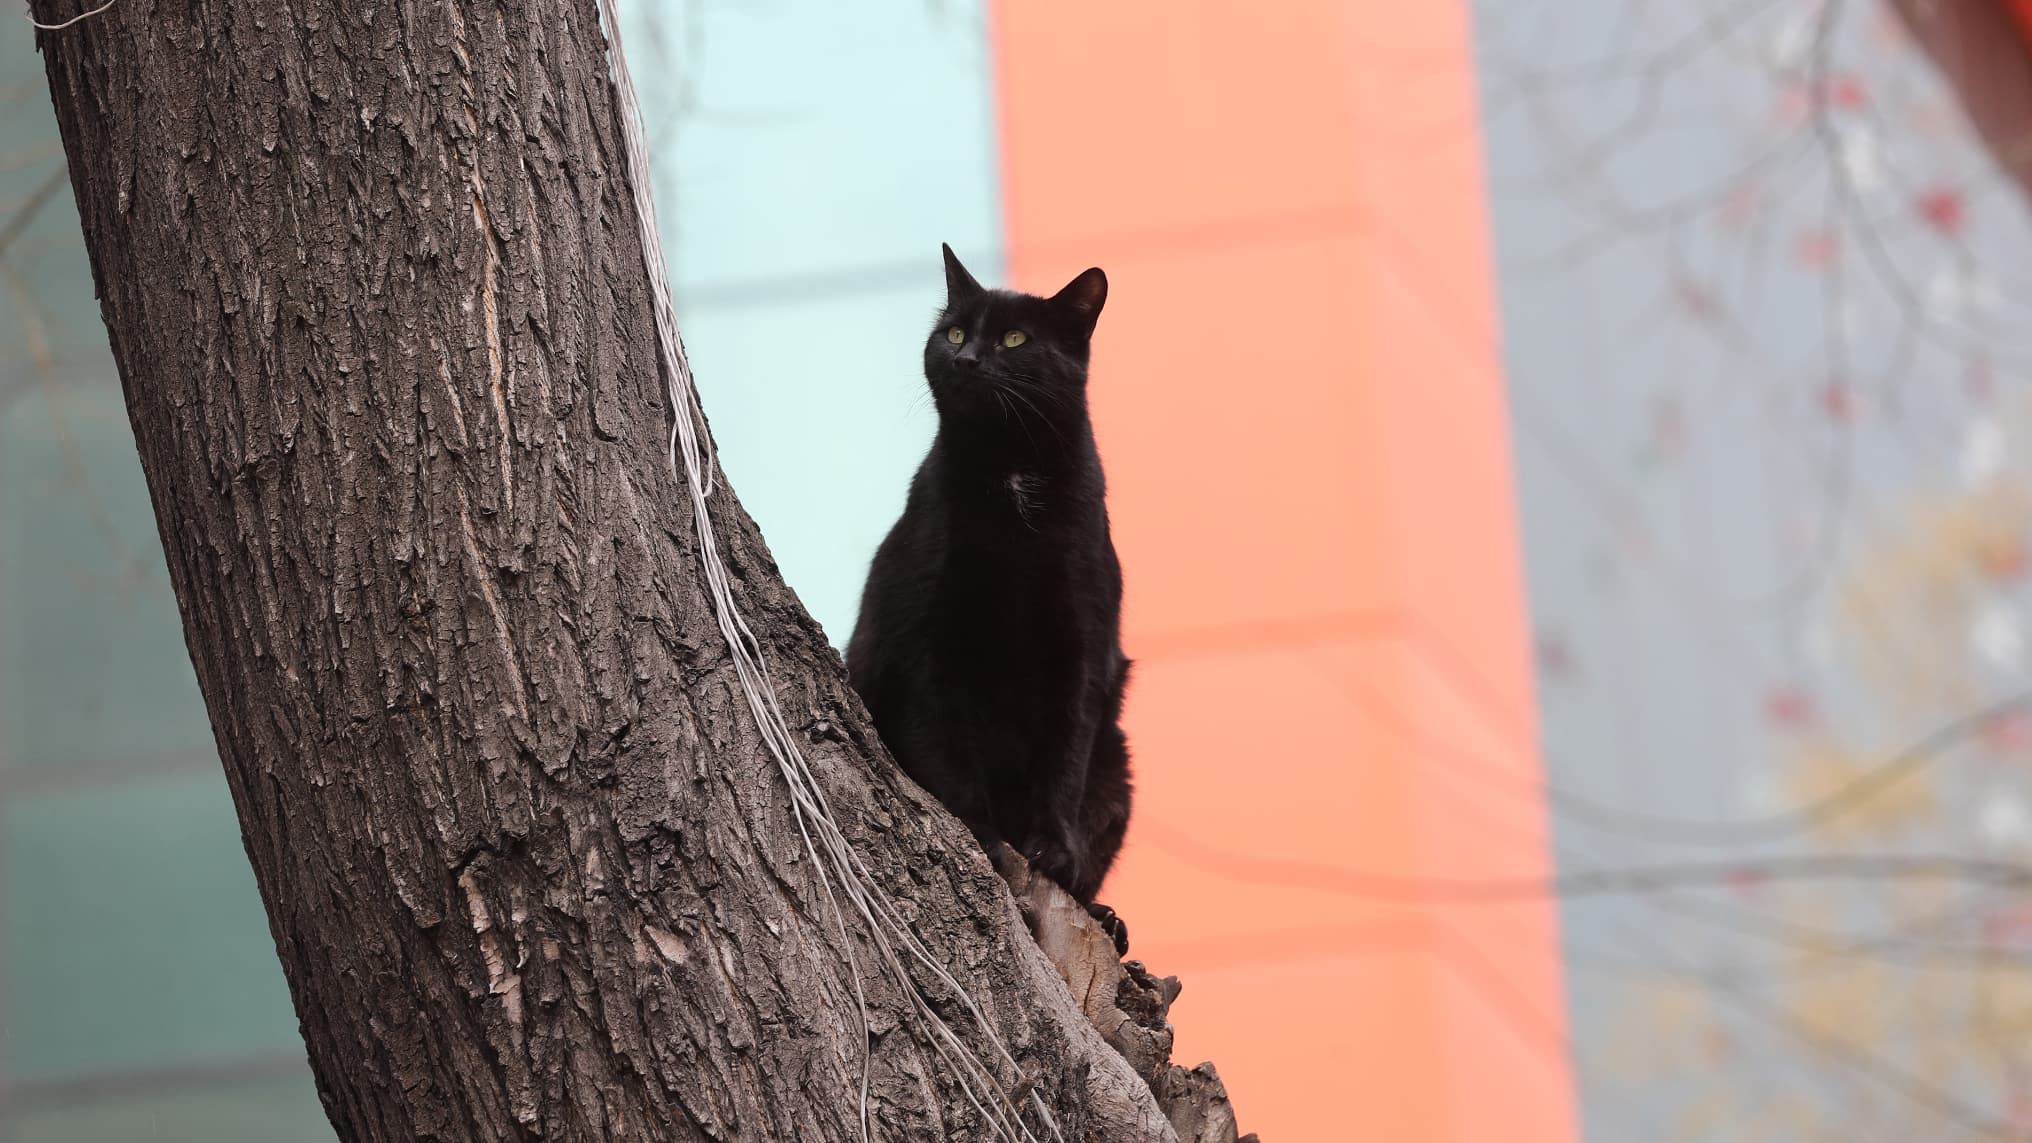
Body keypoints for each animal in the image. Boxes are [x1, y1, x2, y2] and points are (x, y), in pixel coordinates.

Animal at [841, 245, 1129, 947]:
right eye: (952, 333)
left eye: (1014, 339)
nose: (967, 358)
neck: (1012, 473)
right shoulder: (924, 645)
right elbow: (945, 755)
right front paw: (986, 842)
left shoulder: (1082, 645)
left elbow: (1063, 761)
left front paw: (1052, 852)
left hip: (1120, 767)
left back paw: (1104, 917)